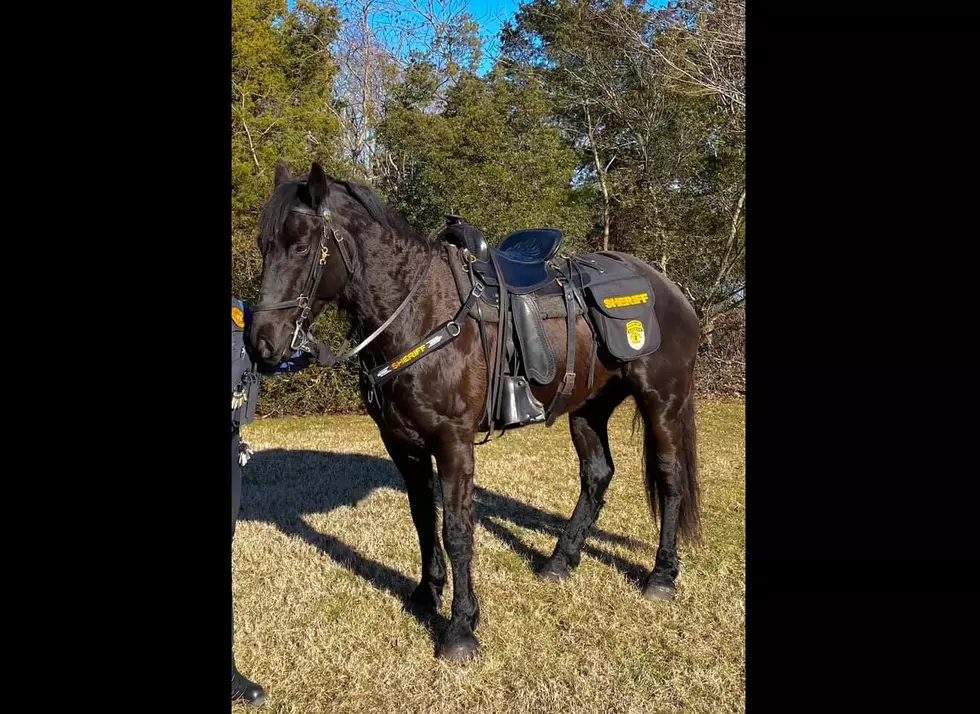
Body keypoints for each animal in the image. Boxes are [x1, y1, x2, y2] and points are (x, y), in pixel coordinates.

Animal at [249, 163, 700, 660]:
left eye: (302, 247)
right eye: (263, 246)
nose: (261, 343)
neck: (420, 312)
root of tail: (669, 290)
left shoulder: (453, 442)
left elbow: (457, 530)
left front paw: (461, 628)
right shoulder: (403, 443)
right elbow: (424, 520)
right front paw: (426, 594)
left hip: (662, 401)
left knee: (670, 478)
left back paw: (661, 576)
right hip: (588, 409)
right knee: (597, 475)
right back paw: (560, 561)